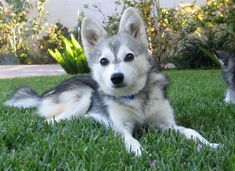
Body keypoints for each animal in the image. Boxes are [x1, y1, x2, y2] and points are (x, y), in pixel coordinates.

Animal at [5, 7, 218, 156]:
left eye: (129, 56)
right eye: (103, 61)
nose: (116, 78)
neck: (134, 98)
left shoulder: (166, 123)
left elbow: (190, 131)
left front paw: (210, 144)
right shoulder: (122, 127)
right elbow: (131, 141)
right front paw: (139, 152)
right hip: (83, 96)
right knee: (50, 120)